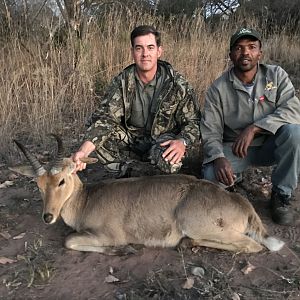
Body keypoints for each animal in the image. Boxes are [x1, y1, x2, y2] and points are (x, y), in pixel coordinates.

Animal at [9, 136, 284, 255]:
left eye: (62, 180)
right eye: (38, 184)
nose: (47, 216)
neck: (86, 200)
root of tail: (243, 204)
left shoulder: (108, 235)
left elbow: (69, 241)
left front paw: (121, 251)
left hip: (199, 224)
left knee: (252, 245)